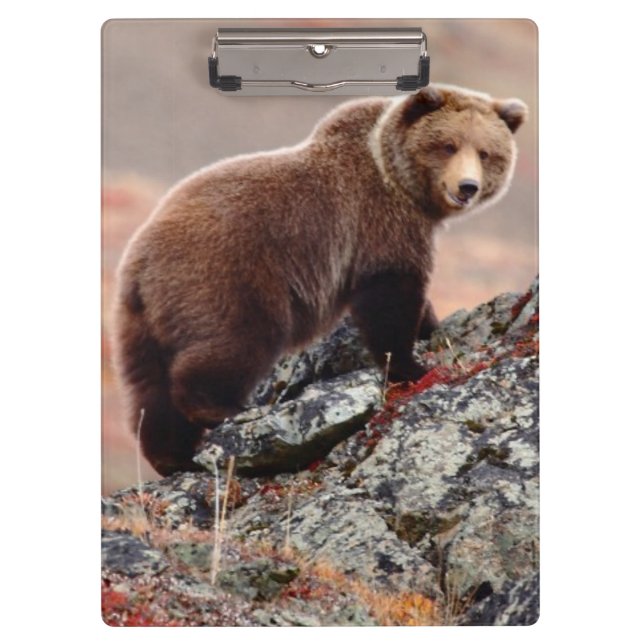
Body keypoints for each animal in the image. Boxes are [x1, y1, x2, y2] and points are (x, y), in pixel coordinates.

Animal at [112, 83, 528, 475]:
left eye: (486, 152)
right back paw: (219, 410)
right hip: (227, 278)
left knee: (149, 387)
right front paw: (413, 366)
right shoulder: (378, 222)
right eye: (447, 145)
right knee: (236, 341)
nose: (467, 187)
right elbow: (389, 298)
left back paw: (170, 456)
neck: (401, 183)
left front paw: (429, 328)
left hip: (141, 322)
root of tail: (139, 262)